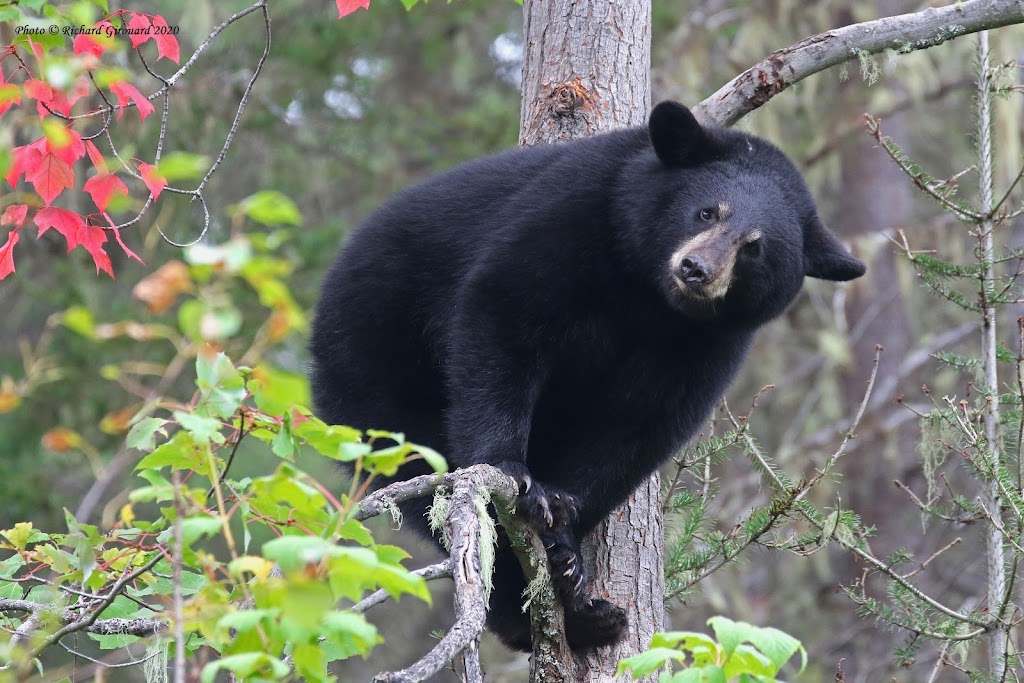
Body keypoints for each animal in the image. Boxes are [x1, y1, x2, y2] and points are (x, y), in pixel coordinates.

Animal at [309, 100, 864, 651]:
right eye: (708, 211)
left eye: (754, 247)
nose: (696, 269)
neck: (649, 297)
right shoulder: (573, 216)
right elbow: (503, 319)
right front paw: (516, 475)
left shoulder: (707, 344)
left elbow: (639, 427)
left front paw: (565, 537)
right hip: (374, 365)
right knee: (423, 470)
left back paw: (580, 612)